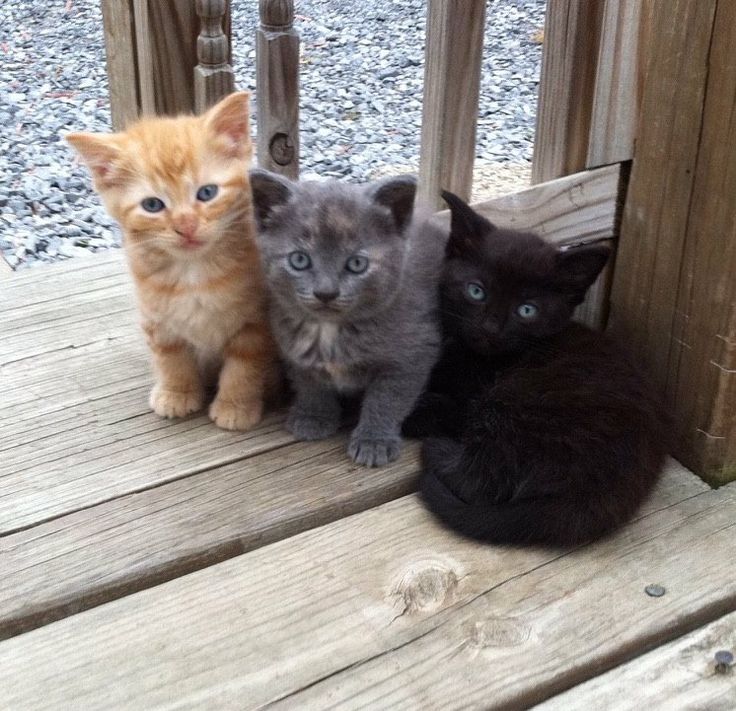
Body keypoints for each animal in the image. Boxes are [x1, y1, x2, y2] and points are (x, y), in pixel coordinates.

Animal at [66, 92, 278, 432]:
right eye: (153, 205)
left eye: (207, 193)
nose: (186, 226)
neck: (194, 274)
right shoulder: (157, 320)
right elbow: (170, 358)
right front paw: (176, 393)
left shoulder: (255, 322)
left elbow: (243, 366)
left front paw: (235, 406)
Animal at [250, 171, 446, 468]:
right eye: (299, 260)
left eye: (356, 264)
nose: (326, 292)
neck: (329, 330)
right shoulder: (293, 349)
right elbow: (309, 383)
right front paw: (314, 417)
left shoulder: (414, 353)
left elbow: (387, 398)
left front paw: (374, 441)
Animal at [406, 192, 668, 548]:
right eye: (476, 291)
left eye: (526, 310)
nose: (491, 329)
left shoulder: (467, 402)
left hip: (515, 401)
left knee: (482, 480)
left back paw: (437, 450)